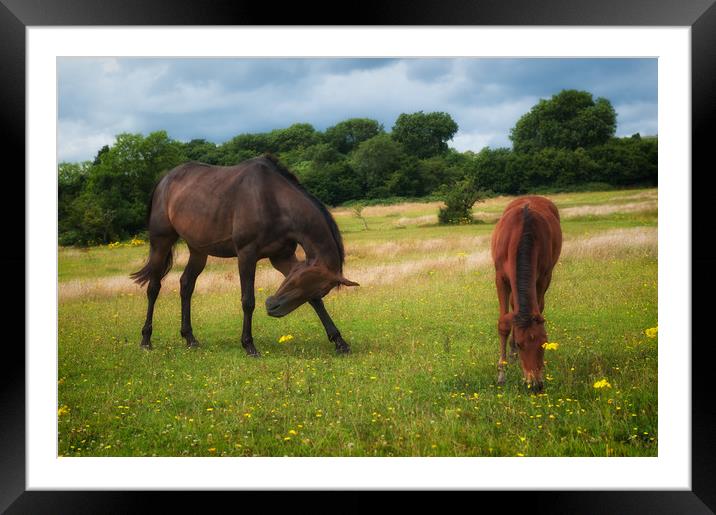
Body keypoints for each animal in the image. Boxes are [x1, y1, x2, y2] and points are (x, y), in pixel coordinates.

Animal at [130, 154, 358, 354]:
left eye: (319, 289)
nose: (272, 306)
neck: (273, 199)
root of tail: (164, 180)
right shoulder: (247, 254)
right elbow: (248, 301)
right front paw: (249, 345)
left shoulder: (282, 257)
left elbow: (316, 303)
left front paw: (340, 341)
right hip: (161, 242)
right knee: (153, 288)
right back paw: (145, 340)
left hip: (198, 251)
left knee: (186, 285)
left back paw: (190, 338)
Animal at [490, 197, 564, 392]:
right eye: (522, 345)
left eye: (544, 343)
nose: (535, 385)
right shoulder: (500, 277)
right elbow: (504, 324)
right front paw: (501, 374)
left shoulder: (543, 277)